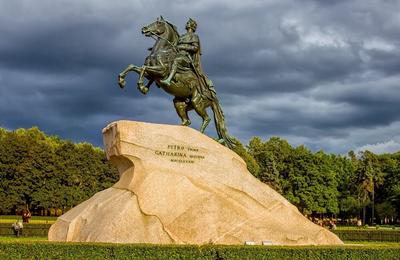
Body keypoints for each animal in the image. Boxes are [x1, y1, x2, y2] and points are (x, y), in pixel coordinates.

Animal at [117, 16, 236, 148]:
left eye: (159, 23)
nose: (144, 29)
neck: (161, 51)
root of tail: (213, 96)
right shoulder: (151, 74)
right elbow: (133, 66)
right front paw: (122, 81)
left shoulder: (161, 71)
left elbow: (143, 68)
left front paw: (142, 87)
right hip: (179, 103)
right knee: (187, 121)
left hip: (197, 102)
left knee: (207, 119)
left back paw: (200, 136)